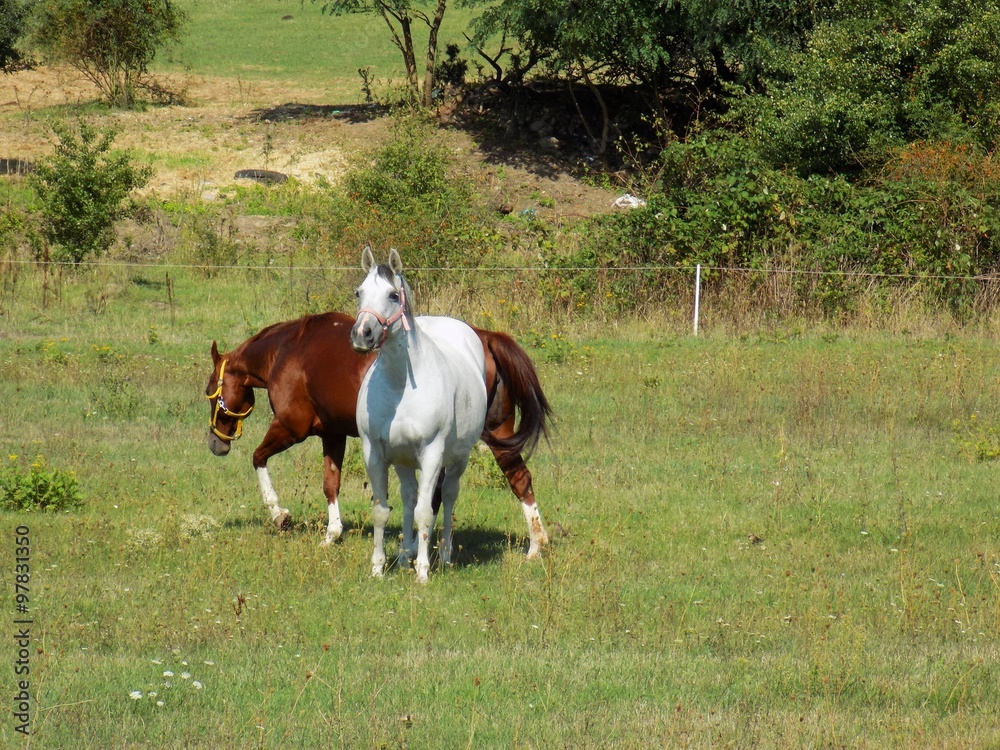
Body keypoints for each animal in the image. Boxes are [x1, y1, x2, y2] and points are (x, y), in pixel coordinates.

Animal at [205, 308, 551, 557]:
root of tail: (483, 337)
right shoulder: (333, 434)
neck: (289, 351)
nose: (215, 444)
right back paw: (535, 545)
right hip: (497, 433)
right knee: (518, 478)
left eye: (209, 391)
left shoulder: (291, 427)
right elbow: (330, 484)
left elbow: (258, 458)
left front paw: (279, 514)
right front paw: (332, 534)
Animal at [351, 247, 494, 582]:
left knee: (449, 497)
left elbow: (425, 512)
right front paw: (378, 568)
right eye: (359, 292)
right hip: (403, 462)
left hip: (457, 459)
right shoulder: (374, 453)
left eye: (393, 294)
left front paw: (423, 572)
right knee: (408, 498)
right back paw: (405, 557)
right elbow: (382, 510)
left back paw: (444, 556)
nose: (362, 334)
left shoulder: (431, 454)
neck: (400, 386)